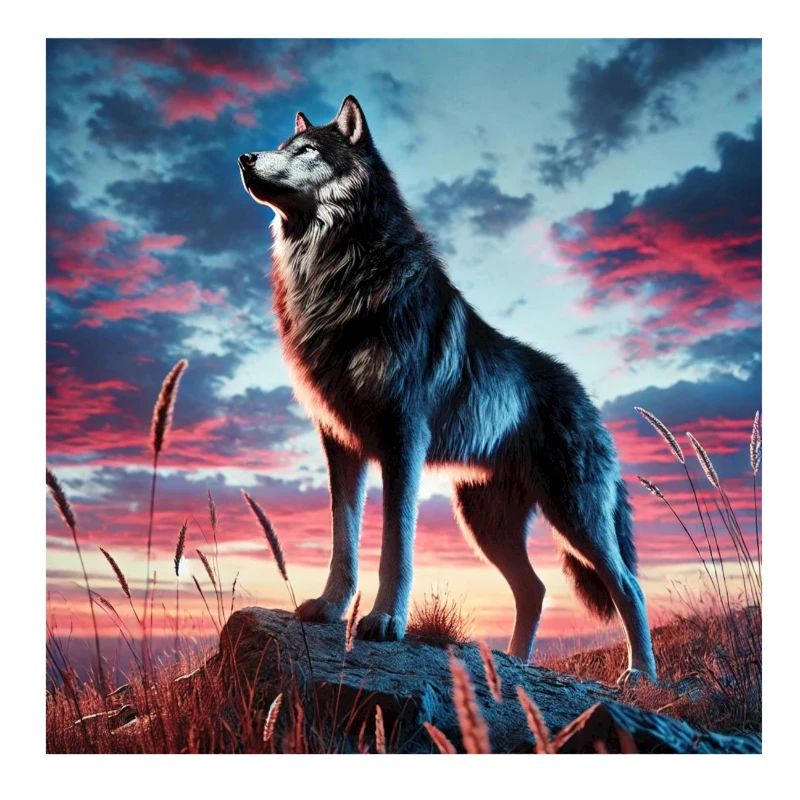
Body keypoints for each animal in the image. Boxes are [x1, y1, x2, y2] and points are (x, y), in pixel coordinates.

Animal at [239, 96, 657, 683]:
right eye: (282, 146)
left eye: (306, 151)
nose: (245, 157)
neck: (336, 274)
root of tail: (585, 396)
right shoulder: (339, 443)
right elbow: (344, 537)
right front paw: (330, 607)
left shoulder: (403, 439)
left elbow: (397, 543)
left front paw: (385, 621)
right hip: (486, 525)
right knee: (535, 589)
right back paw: (514, 663)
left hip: (574, 515)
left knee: (630, 585)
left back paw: (641, 675)